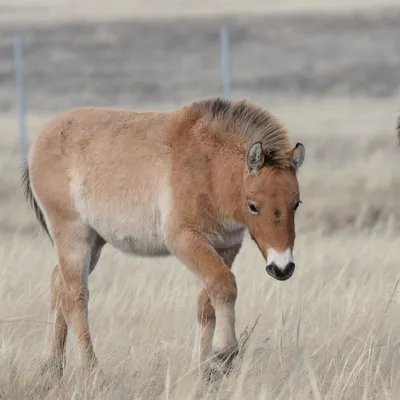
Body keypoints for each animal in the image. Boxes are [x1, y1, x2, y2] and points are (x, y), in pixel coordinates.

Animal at [20, 97, 304, 382]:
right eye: (253, 206)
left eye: (296, 204)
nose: (282, 268)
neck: (209, 167)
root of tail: (40, 140)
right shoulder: (185, 239)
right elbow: (224, 285)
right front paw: (222, 353)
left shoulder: (226, 246)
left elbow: (207, 302)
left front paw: (201, 368)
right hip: (73, 235)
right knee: (74, 295)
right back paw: (91, 369)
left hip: (95, 241)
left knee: (58, 283)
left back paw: (52, 367)